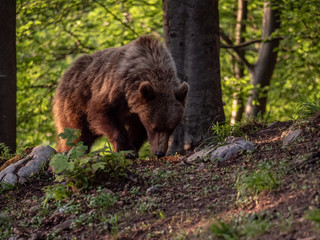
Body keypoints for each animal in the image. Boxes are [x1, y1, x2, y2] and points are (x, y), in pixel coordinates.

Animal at [52, 36, 188, 158]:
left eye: (170, 128)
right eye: (154, 127)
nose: (159, 153)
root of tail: (67, 72)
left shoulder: (138, 109)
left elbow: (138, 130)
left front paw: (133, 148)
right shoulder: (115, 90)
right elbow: (103, 114)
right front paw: (126, 150)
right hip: (74, 102)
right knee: (75, 133)